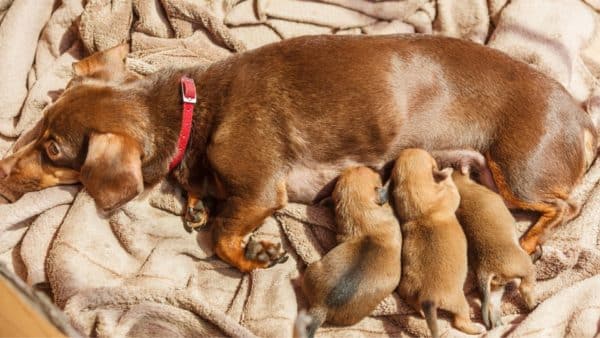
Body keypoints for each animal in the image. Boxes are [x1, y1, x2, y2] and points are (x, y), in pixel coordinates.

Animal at [0, 33, 596, 272]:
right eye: (39, 122)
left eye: (53, 150)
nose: (2, 172)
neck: (195, 108)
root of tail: (583, 114)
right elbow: (205, 201)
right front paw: (195, 202)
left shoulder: (262, 190)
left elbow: (223, 240)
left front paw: (254, 256)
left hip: (517, 172)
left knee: (565, 206)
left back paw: (533, 240)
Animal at [394, 149, 482, 338]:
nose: (407, 149)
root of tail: (429, 297)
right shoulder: (450, 195)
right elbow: (452, 189)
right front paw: (448, 173)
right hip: (460, 302)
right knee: (460, 321)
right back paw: (476, 328)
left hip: (408, 292)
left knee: (413, 303)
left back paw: (420, 312)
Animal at [452, 170, 536, 328]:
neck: (463, 189)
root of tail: (485, 270)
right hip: (525, 267)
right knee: (525, 287)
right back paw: (533, 305)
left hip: (496, 288)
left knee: (492, 307)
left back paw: (499, 325)